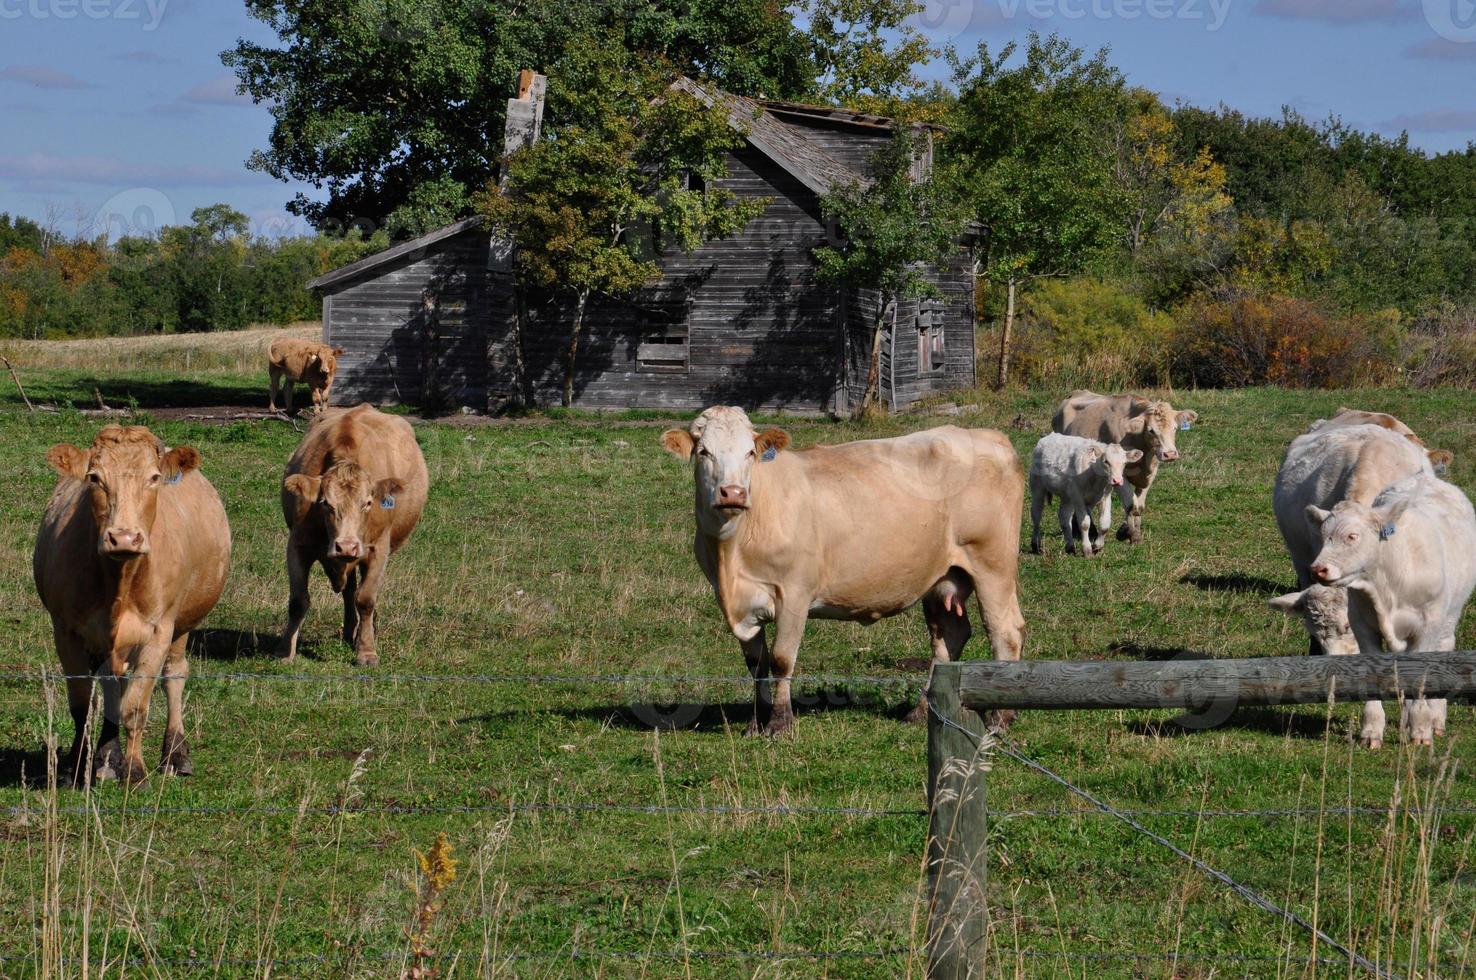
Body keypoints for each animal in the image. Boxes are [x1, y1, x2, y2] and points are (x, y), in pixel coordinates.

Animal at [33, 425, 228, 785]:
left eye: (154, 477)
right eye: (94, 477)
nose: (123, 538)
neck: (120, 578)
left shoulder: (158, 631)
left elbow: (136, 706)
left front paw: (135, 771)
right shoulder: (65, 630)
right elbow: (82, 703)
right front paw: (77, 766)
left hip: (182, 625)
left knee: (174, 675)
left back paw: (176, 754)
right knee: (113, 684)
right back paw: (108, 758)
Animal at [277, 404, 428, 667]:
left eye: (367, 503)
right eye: (325, 503)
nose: (346, 546)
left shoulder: (378, 548)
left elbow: (366, 600)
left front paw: (367, 652)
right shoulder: (297, 545)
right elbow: (298, 601)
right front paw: (287, 651)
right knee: (349, 591)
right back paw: (349, 632)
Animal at [667, 404, 1027, 735]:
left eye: (750, 452)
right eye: (704, 452)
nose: (733, 493)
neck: (733, 553)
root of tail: (987, 436)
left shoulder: (794, 593)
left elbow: (782, 659)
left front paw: (780, 724)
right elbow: (757, 665)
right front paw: (756, 723)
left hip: (992, 564)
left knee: (1005, 633)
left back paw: (1000, 718)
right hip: (942, 575)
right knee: (948, 637)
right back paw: (922, 712)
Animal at [1050, 389, 1198, 543]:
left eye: (1175, 428)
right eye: (1151, 430)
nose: (1170, 454)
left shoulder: (1151, 474)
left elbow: (1139, 506)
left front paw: (1131, 531)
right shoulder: (1119, 475)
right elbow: (1130, 504)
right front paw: (1130, 534)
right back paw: (1088, 531)